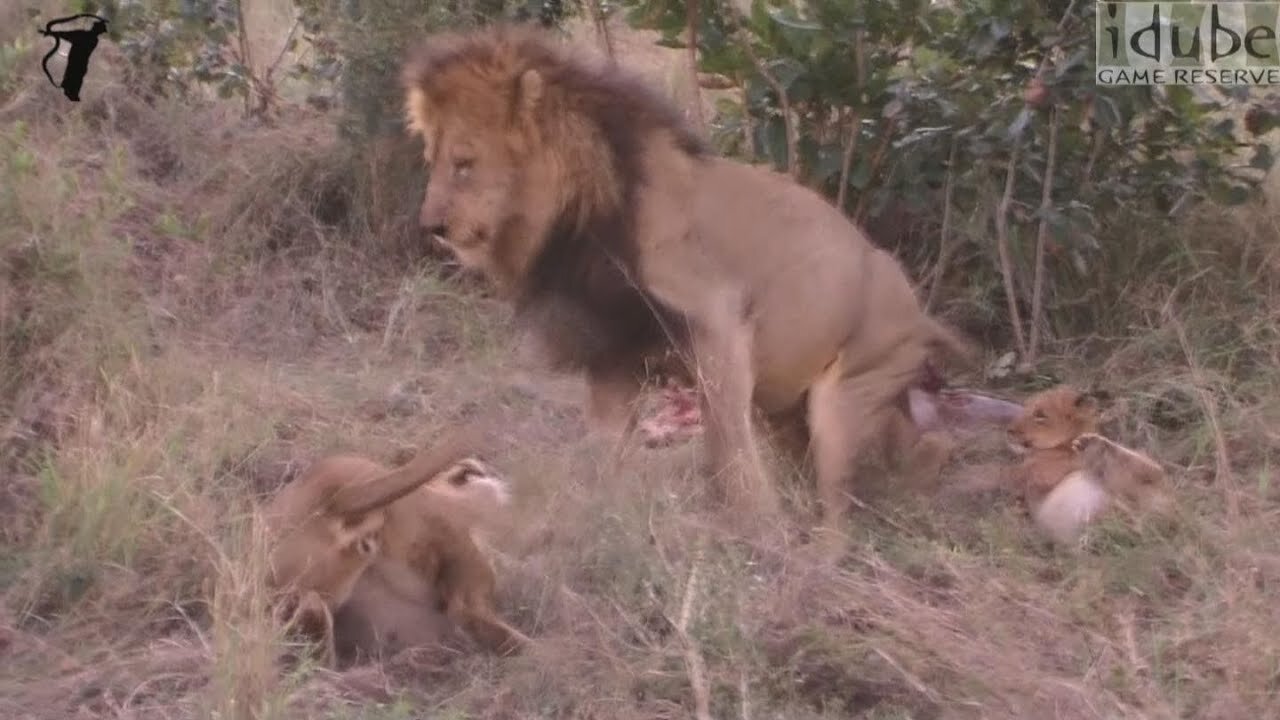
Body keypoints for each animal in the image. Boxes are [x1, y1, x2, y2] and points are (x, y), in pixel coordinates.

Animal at [401, 22, 977, 548]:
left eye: (465, 164)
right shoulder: (611, 350)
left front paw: (757, 528)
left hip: (847, 396)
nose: (431, 226)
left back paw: (816, 559)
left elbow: (726, 440)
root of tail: (922, 315)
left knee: (840, 510)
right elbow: (605, 447)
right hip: (793, 411)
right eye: (431, 161)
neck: (574, 219)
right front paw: (600, 519)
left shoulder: (717, 316)